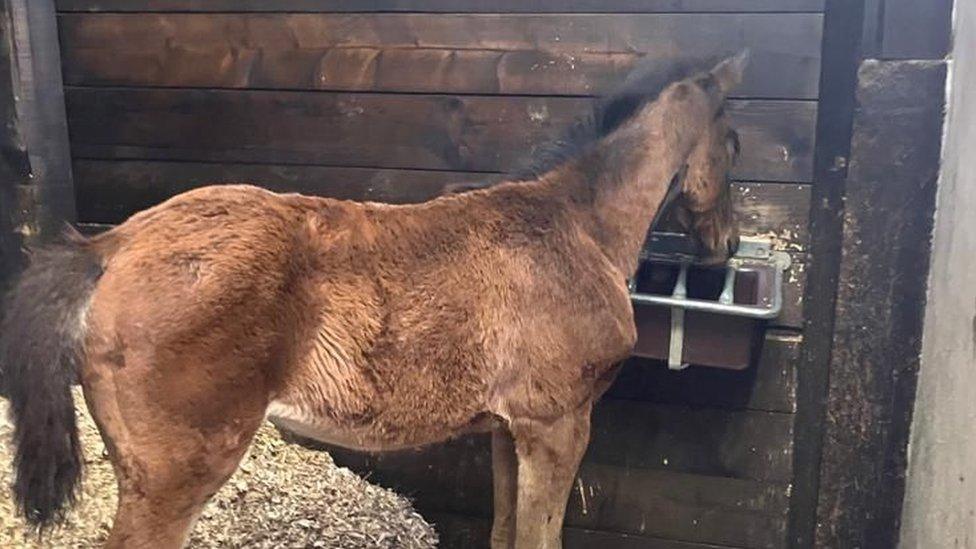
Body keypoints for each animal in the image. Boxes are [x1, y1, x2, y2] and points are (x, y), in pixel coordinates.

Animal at [1, 52, 748, 548]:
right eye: (736, 143)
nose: (727, 243)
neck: (575, 227)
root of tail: (113, 245)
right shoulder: (558, 424)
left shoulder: (509, 431)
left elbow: (506, 531)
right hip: (176, 474)